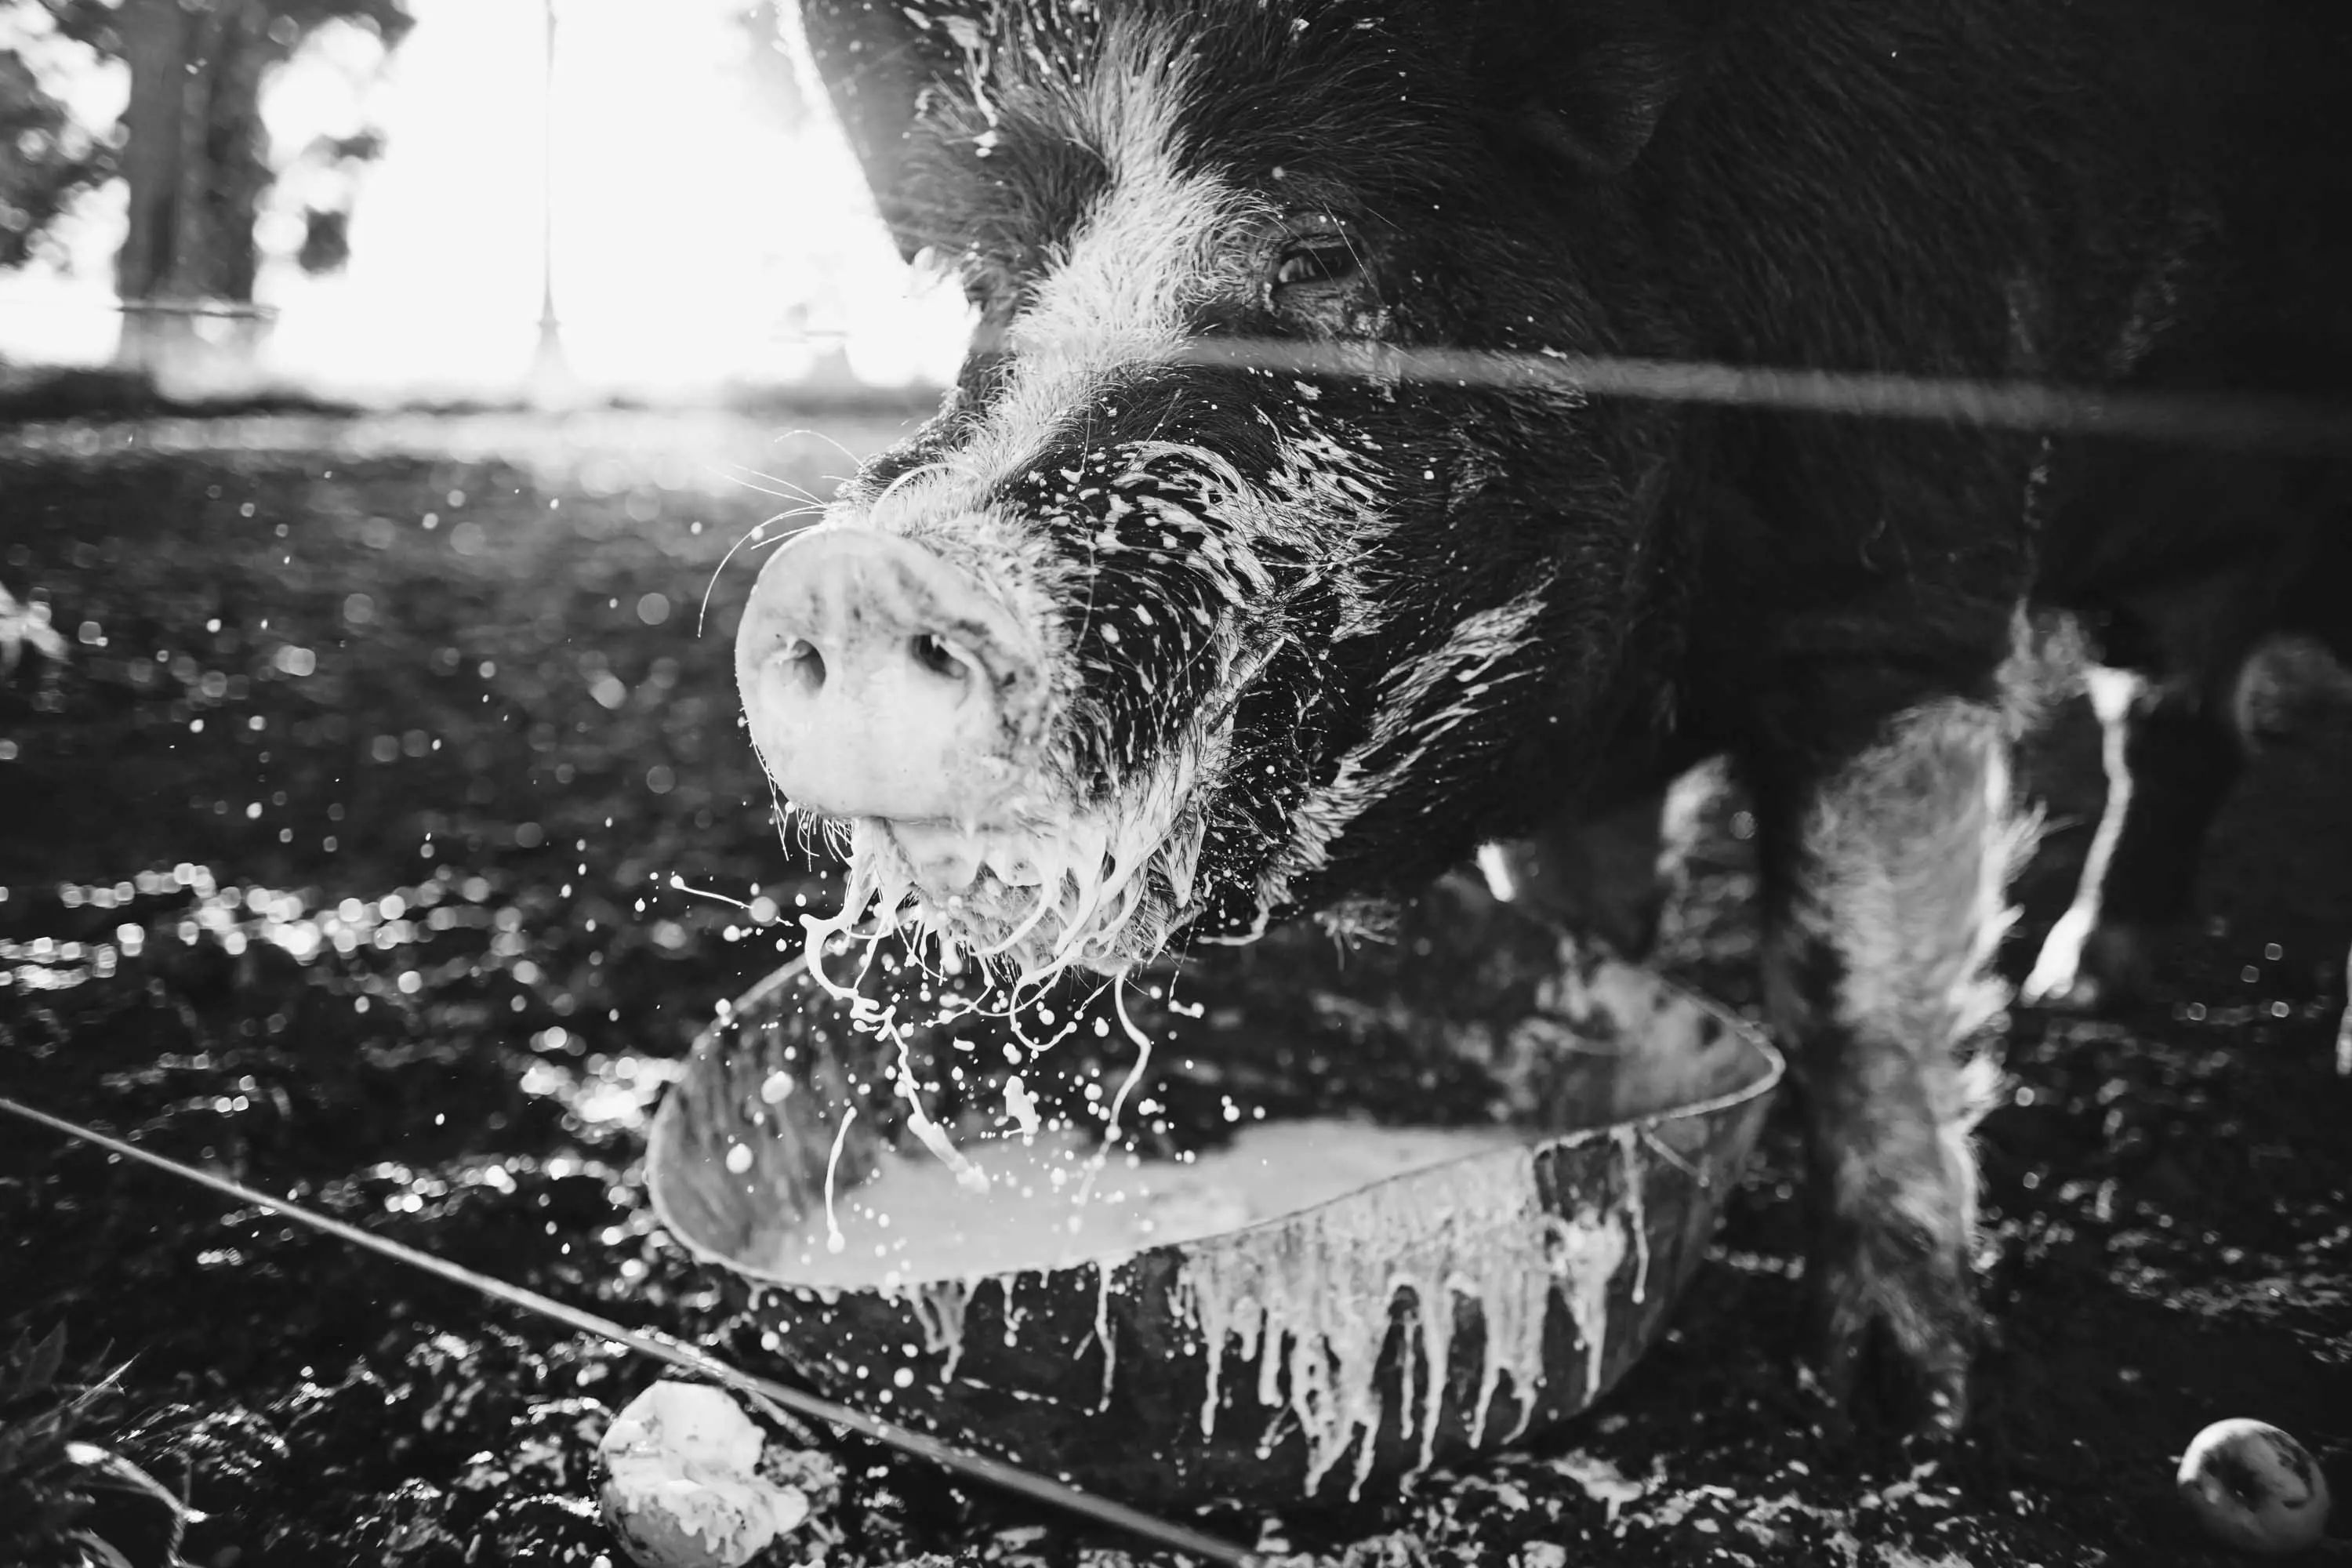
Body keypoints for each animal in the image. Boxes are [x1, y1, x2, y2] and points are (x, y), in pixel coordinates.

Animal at [739, 0, 2352, 1439]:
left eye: (1322, 252)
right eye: (995, 284)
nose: (854, 574)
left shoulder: (1899, 602)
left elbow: (1854, 989)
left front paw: (1894, 1402)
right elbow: (1584, 939)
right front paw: (1581, 1111)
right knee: (2179, 728)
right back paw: (2095, 983)